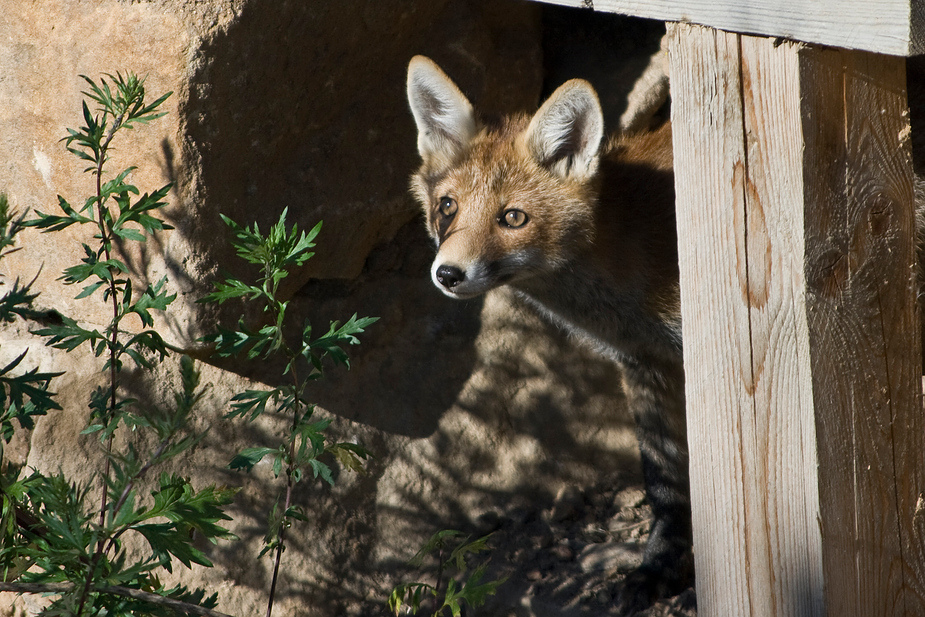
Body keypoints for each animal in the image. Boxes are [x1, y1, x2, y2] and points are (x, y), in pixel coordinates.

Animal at [408, 54, 688, 612]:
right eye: (448, 207)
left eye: (513, 217)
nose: (448, 274)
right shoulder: (647, 363)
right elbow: (665, 485)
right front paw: (659, 569)